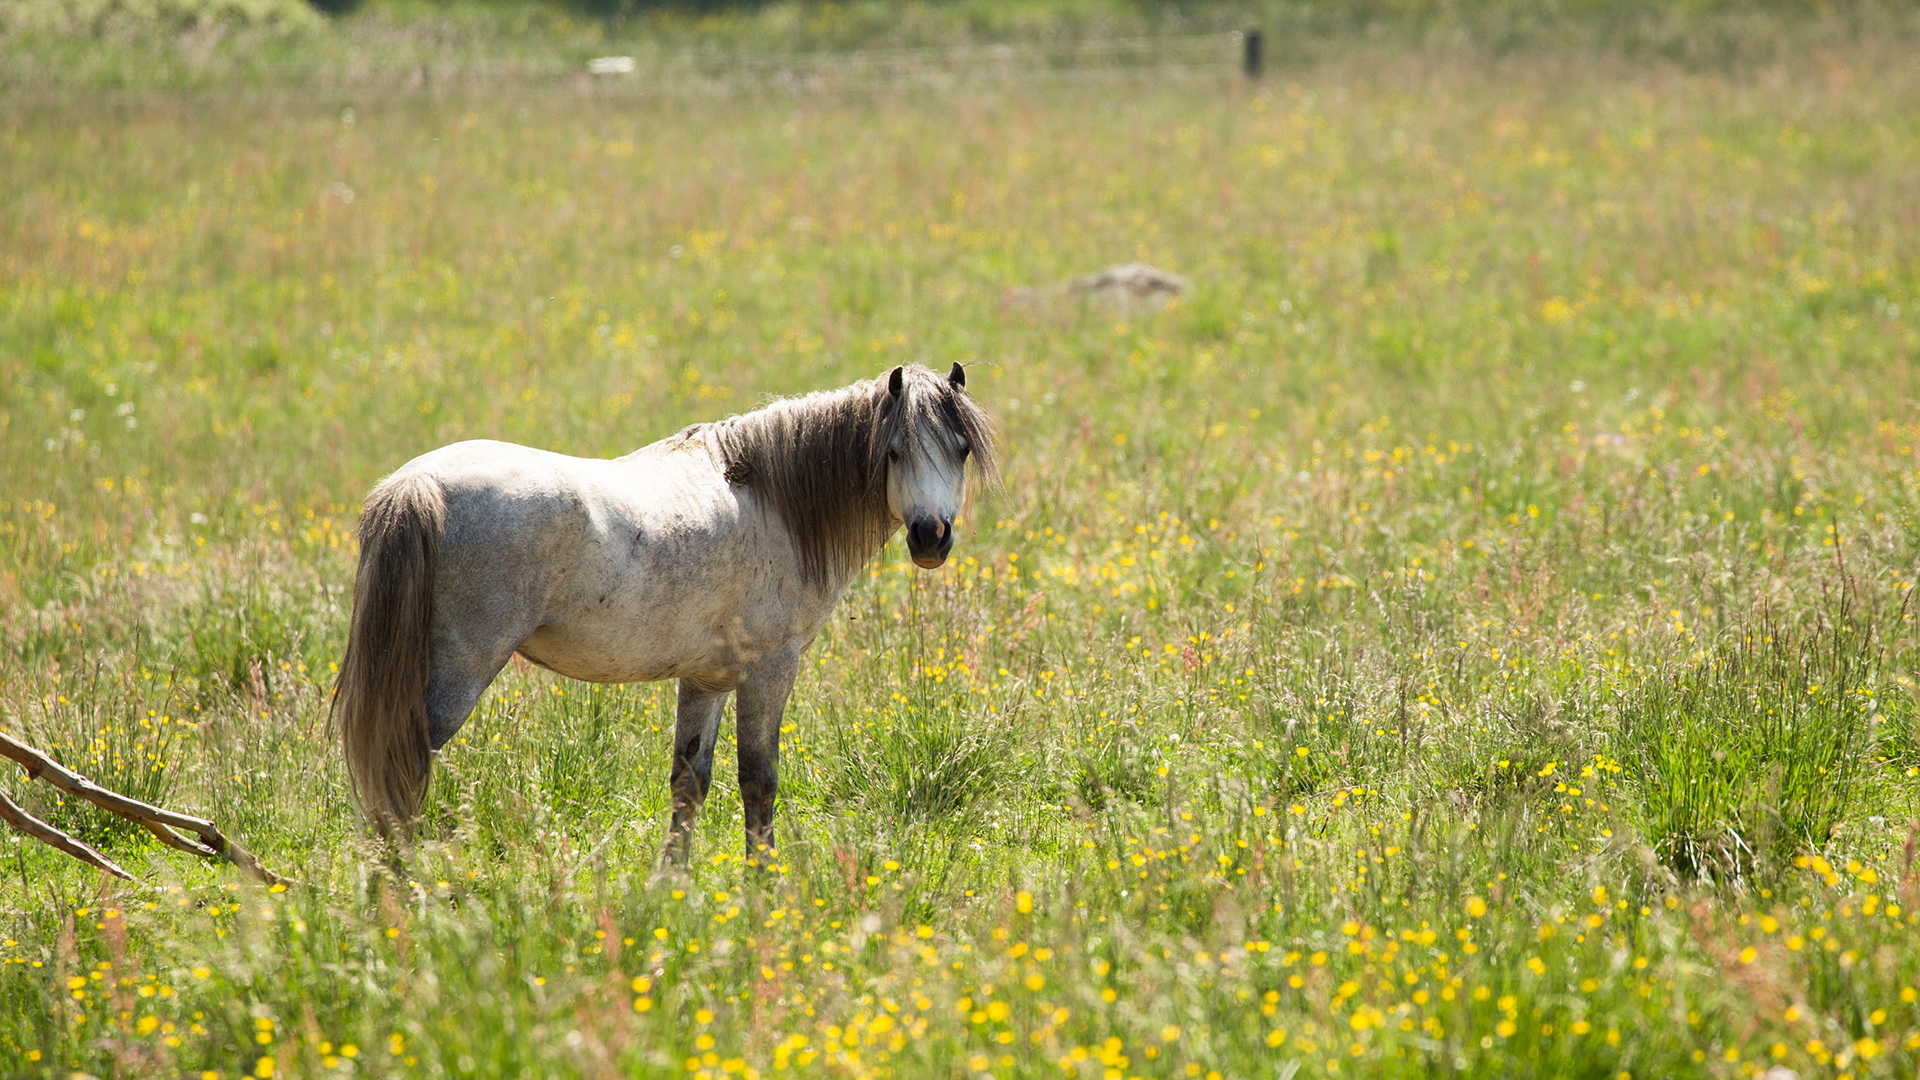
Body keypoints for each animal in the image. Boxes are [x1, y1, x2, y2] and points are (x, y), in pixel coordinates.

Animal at [332, 365, 998, 860]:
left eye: (961, 449)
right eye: (893, 452)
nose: (931, 537)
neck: (773, 500)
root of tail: (417, 486)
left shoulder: (707, 679)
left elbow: (688, 783)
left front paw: (670, 892)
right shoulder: (768, 670)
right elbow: (758, 781)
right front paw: (763, 893)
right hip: (457, 673)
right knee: (401, 778)